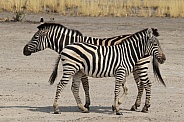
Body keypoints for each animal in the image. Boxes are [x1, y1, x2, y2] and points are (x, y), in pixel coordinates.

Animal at [23, 23, 165, 113]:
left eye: (35, 37)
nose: (24, 50)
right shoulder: (84, 68)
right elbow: (85, 86)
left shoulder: (84, 70)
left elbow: (86, 86)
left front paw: (88, 104)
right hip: (137, 67)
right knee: (142, 85)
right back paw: (136, 106)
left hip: (140, 66)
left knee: (146, 84)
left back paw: (144, 106)